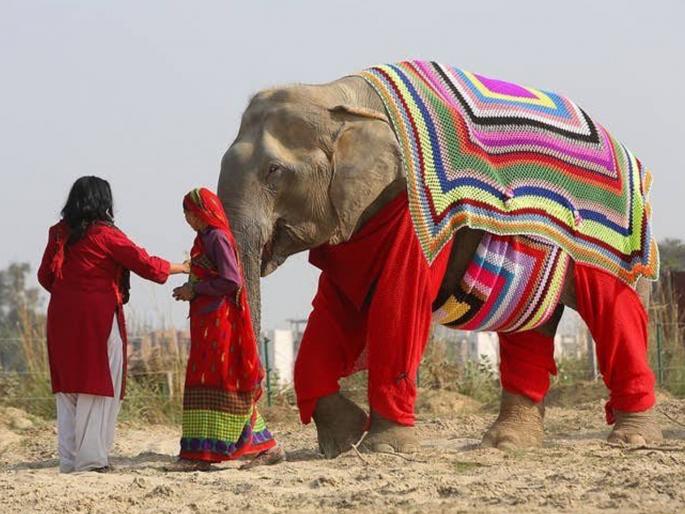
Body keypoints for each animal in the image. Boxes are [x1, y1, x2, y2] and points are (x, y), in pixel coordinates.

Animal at [217, 62, 663, 456]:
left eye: (274, 171)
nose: (266, 452)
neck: (339, 94)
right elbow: (333, 307)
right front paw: (345, 442)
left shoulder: (414, 211)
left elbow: (399, 299)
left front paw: (385, 448)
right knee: (529, 329)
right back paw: (506, 444)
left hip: (619, 239)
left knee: (616, 312)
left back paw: (632, 440)